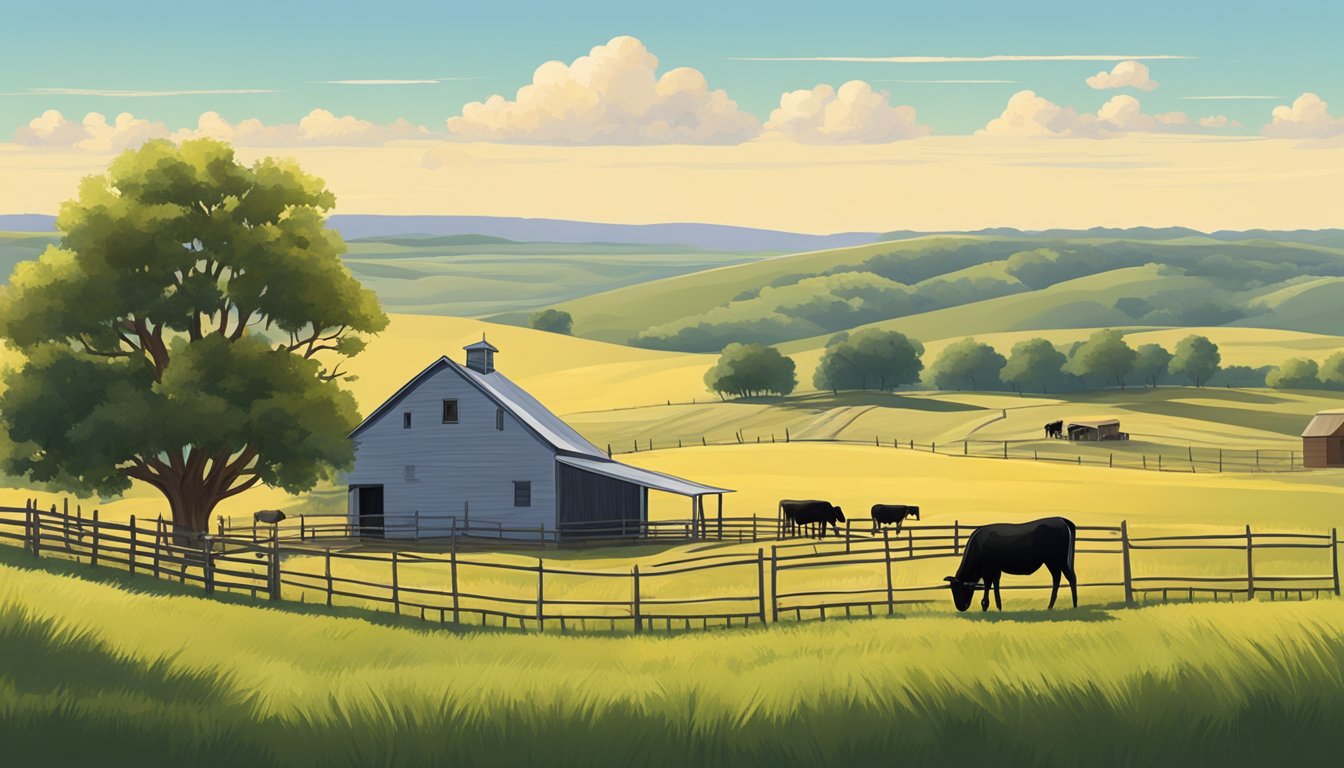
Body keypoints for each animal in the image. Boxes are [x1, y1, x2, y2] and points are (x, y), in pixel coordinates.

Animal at [946, 516, 1080, 613]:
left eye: (962, 589)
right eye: (952, 589)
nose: (960, 607)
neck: (978, 545)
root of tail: (1061, 519)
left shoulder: (988, 570)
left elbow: (988, 586)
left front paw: (985, 607)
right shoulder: (996, 569)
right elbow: (996, 586)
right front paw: (999, 608)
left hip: (1059, 560)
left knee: (1071, 577)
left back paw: (1074, 605)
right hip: (1052, 562)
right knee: (1057, 579)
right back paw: (1051, 606)